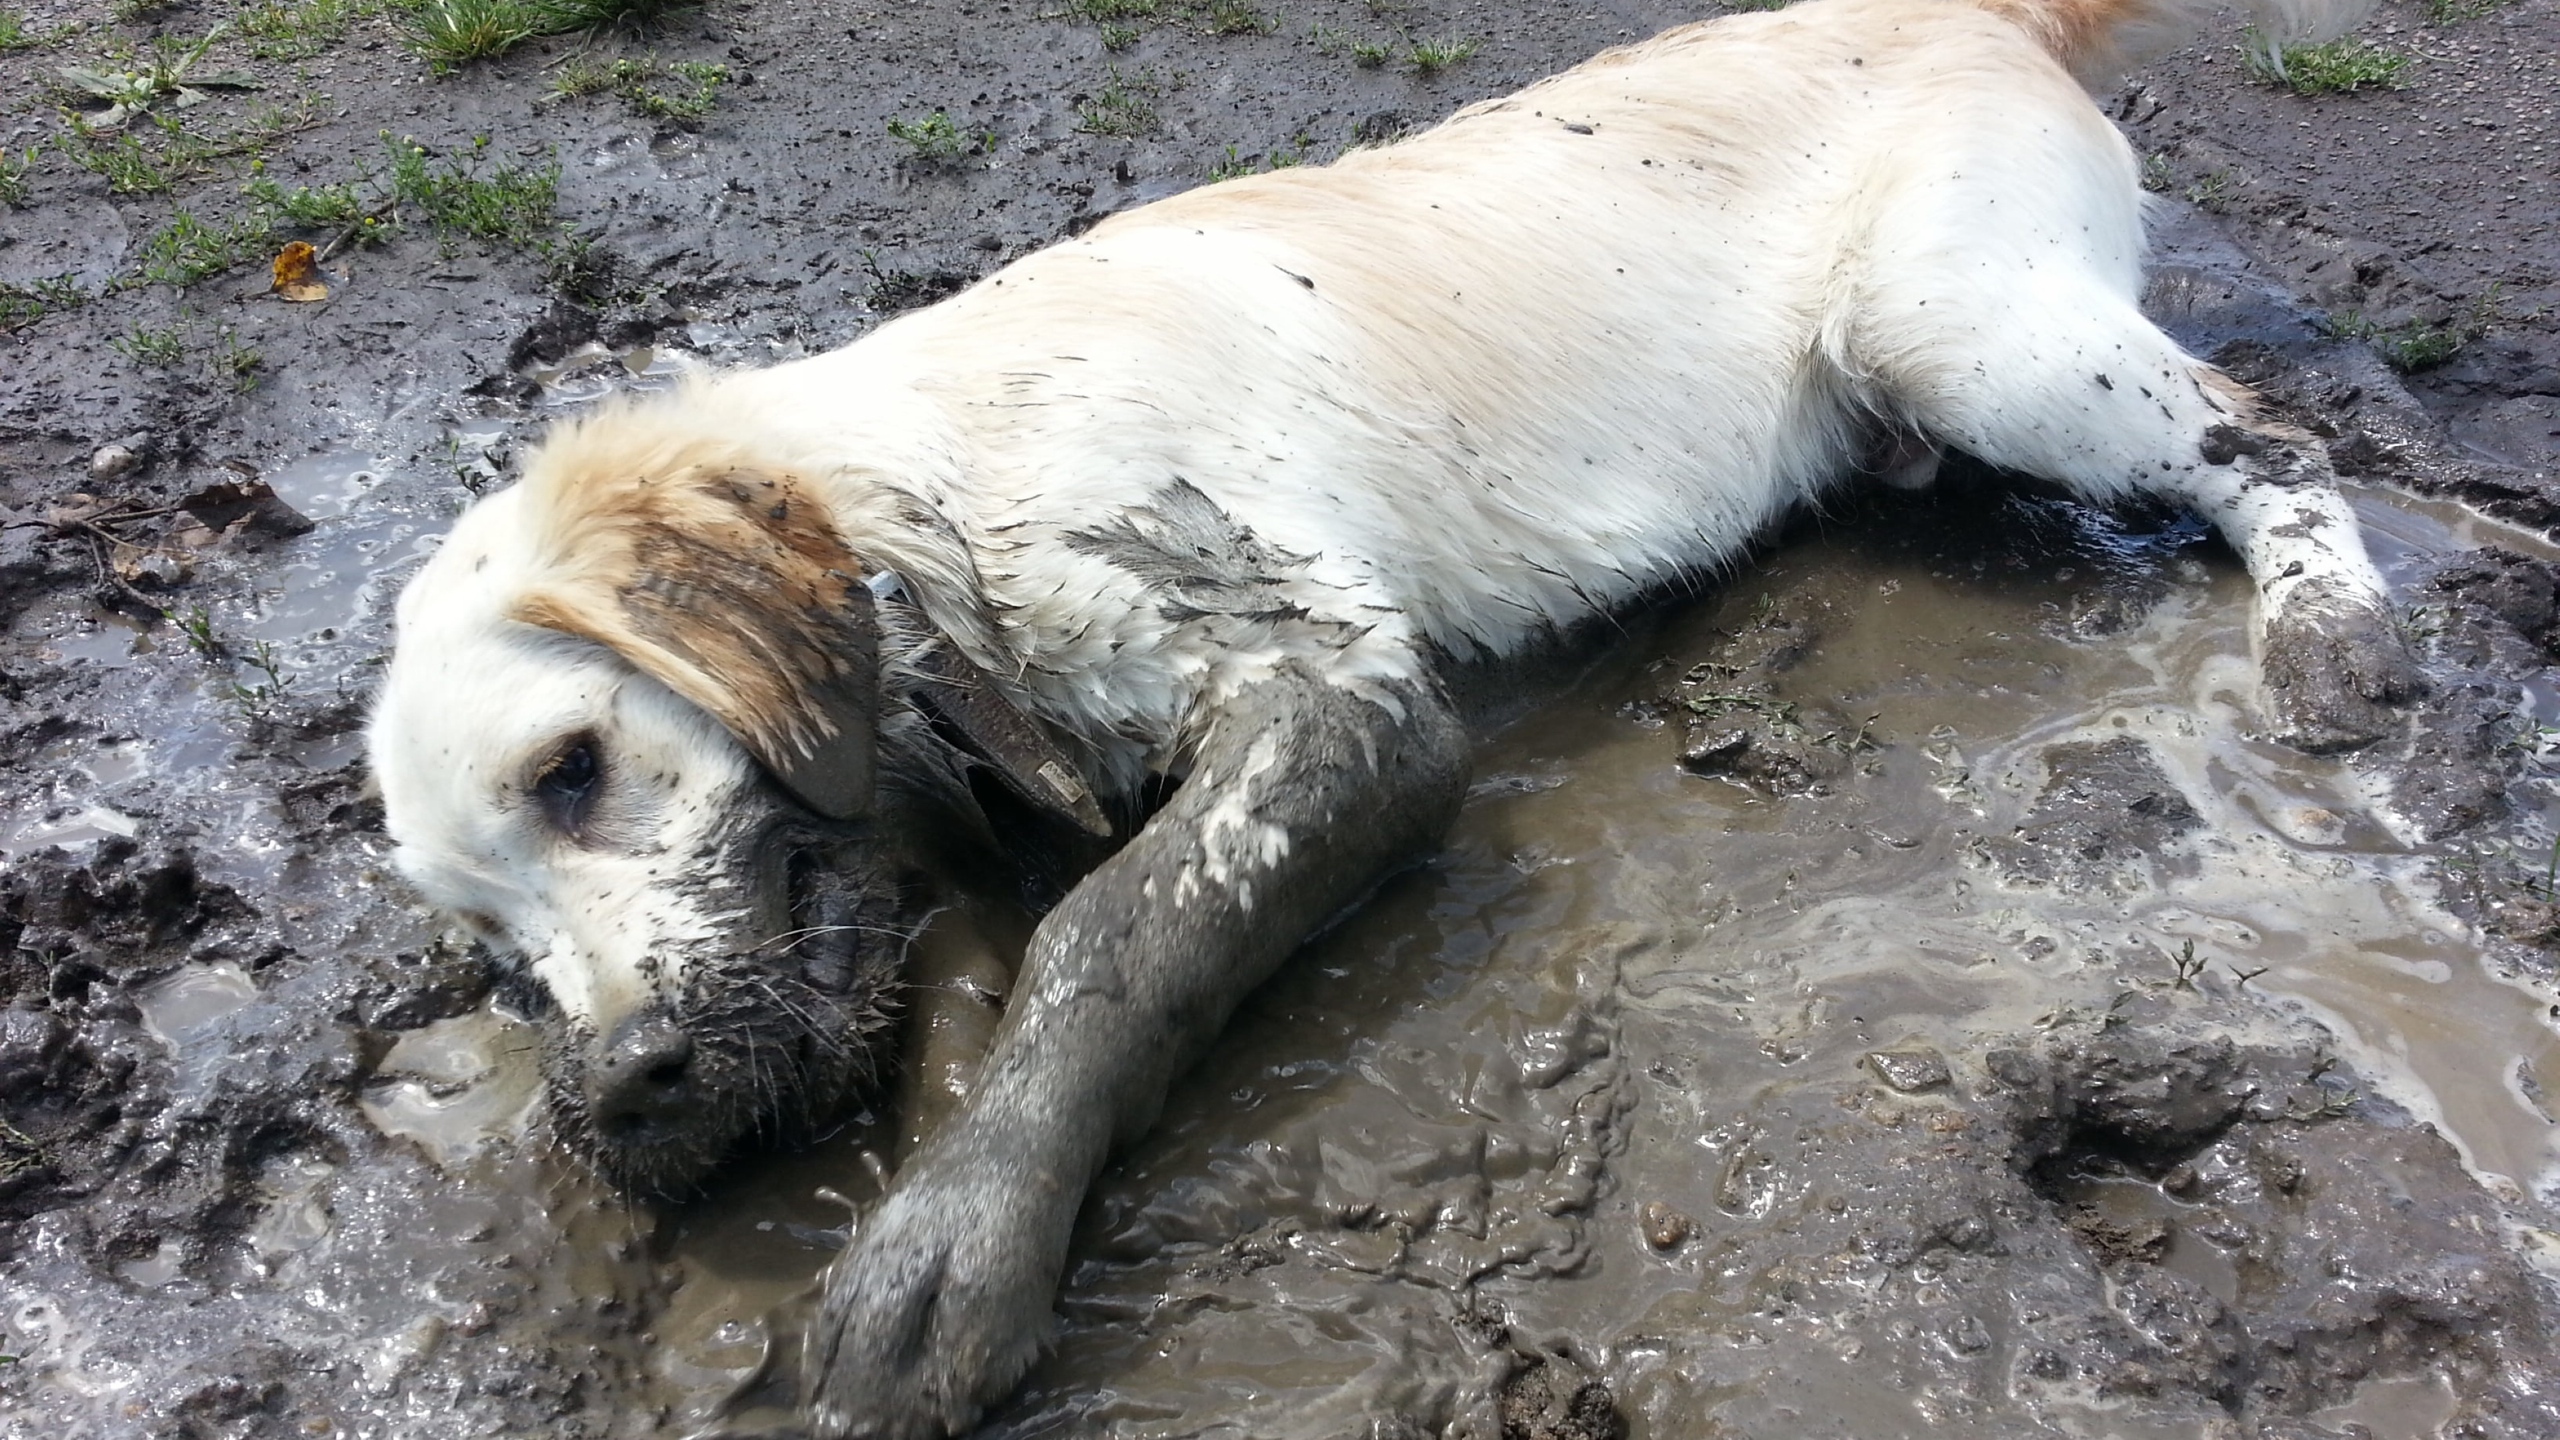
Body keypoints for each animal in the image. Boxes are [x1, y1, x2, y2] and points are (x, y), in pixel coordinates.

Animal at [371, 0, 2406, 1424]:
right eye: (487, 954)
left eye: (575, 770)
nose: (615, 1098)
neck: (940, 484)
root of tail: (1987, 16)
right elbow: (959, 962)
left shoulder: (1335, 687)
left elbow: (1108, 940)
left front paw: (956, 1251)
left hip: (1963, 323)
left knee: (2276, 436)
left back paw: (2335, 640)